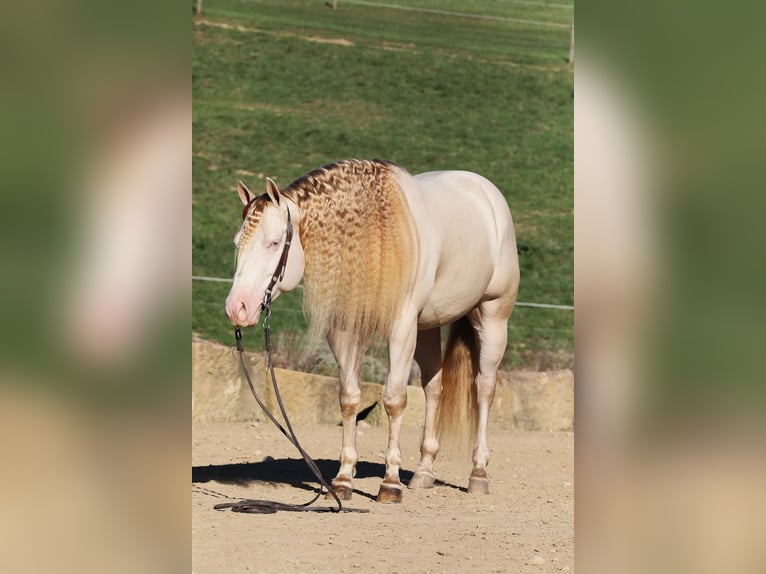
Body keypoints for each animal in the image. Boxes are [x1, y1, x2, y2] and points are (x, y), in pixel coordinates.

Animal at [224, 159, 520, 504]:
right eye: (237, 243)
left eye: (273, 243)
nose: (237, 308)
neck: (375, 237)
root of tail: (485, 191)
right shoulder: (344, 330)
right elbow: (349, 398)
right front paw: (342, 481)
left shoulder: (401, 328)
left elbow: (394, 399)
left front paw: (390, 483)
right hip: (428, 327)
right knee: (434, 387)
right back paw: (423, 472)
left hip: (493, 316)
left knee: (484, 388)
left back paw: (478, 474)